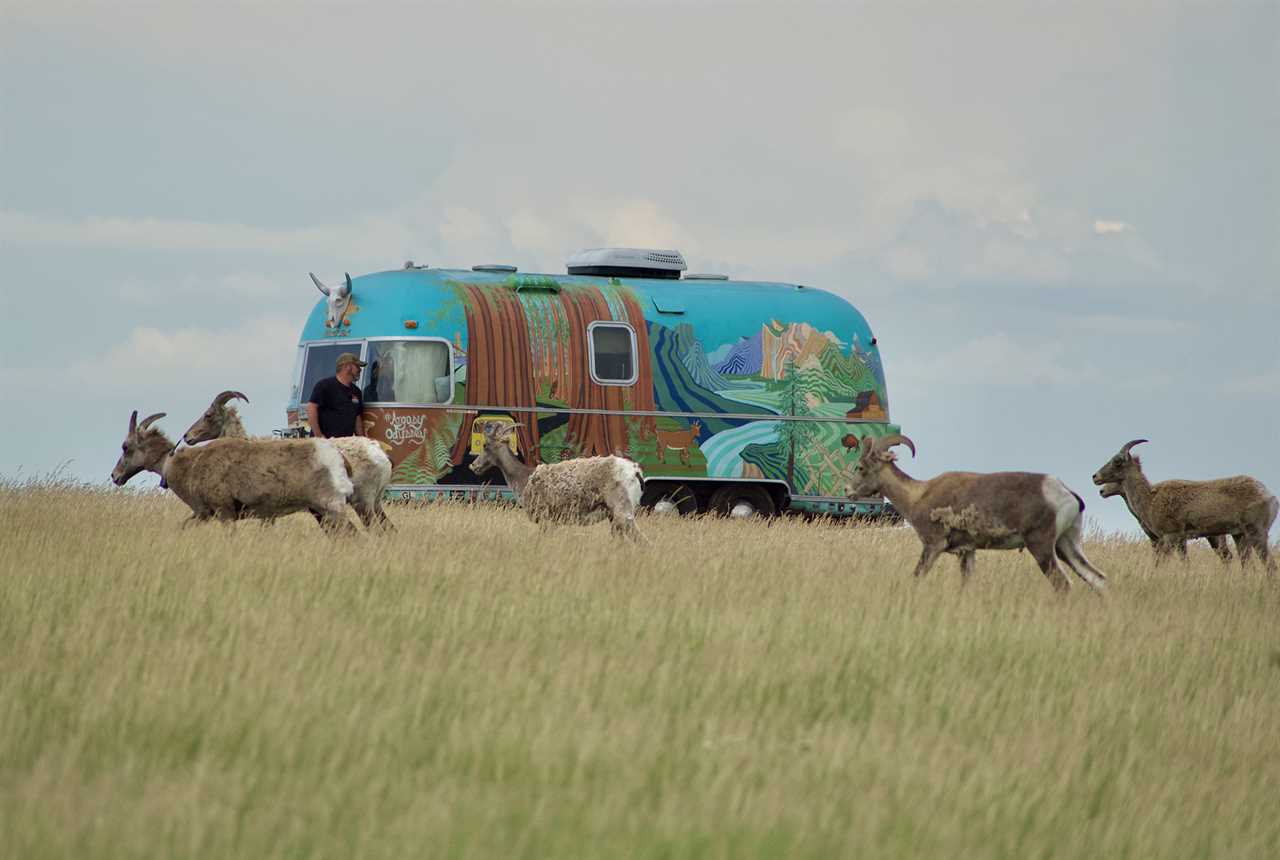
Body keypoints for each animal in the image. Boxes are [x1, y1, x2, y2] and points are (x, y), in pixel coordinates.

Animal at [112, 406, 355, 529]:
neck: (187, 465)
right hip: (320, 512)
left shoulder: (224, 513)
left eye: (125, 446)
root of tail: (337, 456)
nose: (115, 476)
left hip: (331, 508)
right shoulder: (203, 514)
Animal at [471, 422, 645, 537]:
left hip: (623, 512)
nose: (473, 466)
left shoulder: (544, 517)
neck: (523, 479)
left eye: (485, 445)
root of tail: (635, 472)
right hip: (615, 517)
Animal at [844, 432, 1105, 593]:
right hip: (1066, 546)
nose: (848, 490)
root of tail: (1065, 492)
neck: (918, 495)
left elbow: (917, 576)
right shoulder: (966, 552)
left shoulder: (933, 546)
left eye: (861, 467)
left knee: (1064, 584)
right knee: (1097, 579)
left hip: (1042, 547)